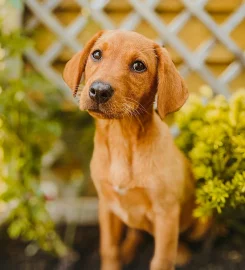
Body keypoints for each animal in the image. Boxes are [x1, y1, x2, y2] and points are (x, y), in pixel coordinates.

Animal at [62, 30, 209, 270]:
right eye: (96, 54)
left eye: (139, 65)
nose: (99, 91)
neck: (122, 139)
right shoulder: (107, 206)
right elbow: (109, 249)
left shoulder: (166, 215)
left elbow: (161, 260)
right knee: (135, 234)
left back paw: (184, 252)